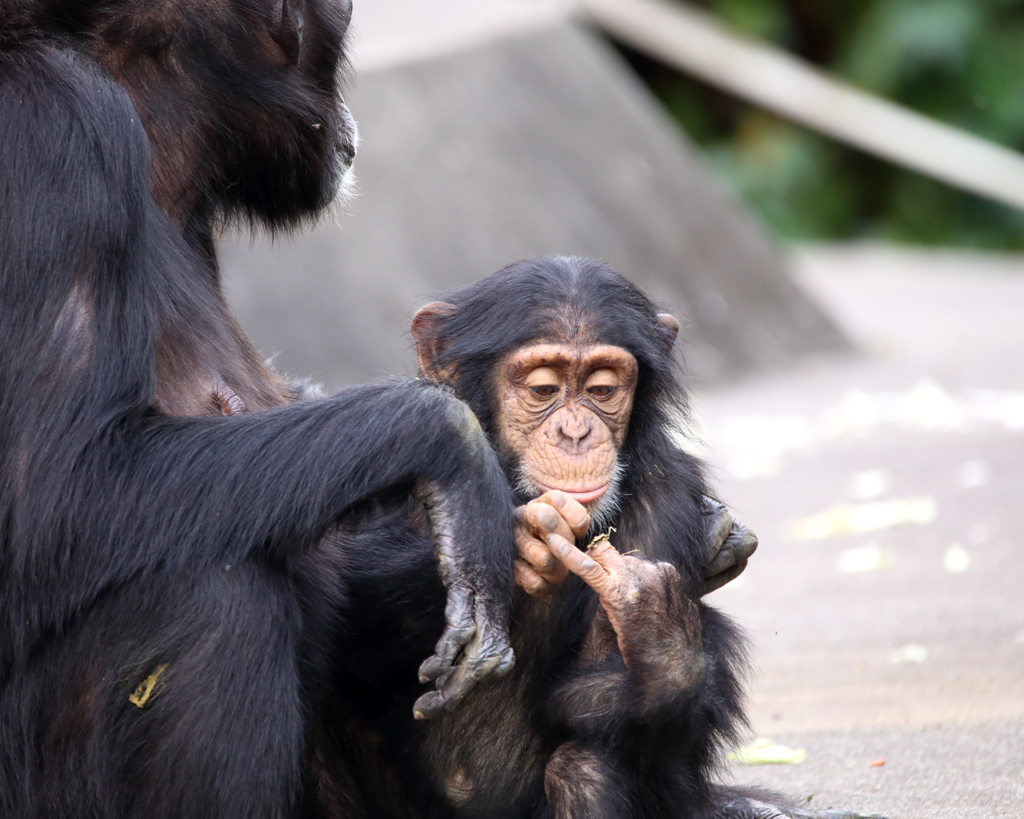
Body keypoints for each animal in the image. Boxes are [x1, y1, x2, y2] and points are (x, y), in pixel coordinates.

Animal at [305, 257, 864, 818]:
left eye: (602, 391)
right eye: (543, 390)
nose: (576, 432)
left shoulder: (666, 492)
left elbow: (584, 689)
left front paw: (658, 636)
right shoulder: (382, 446)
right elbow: (339, 573)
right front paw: (516, 539)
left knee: (585, 767)